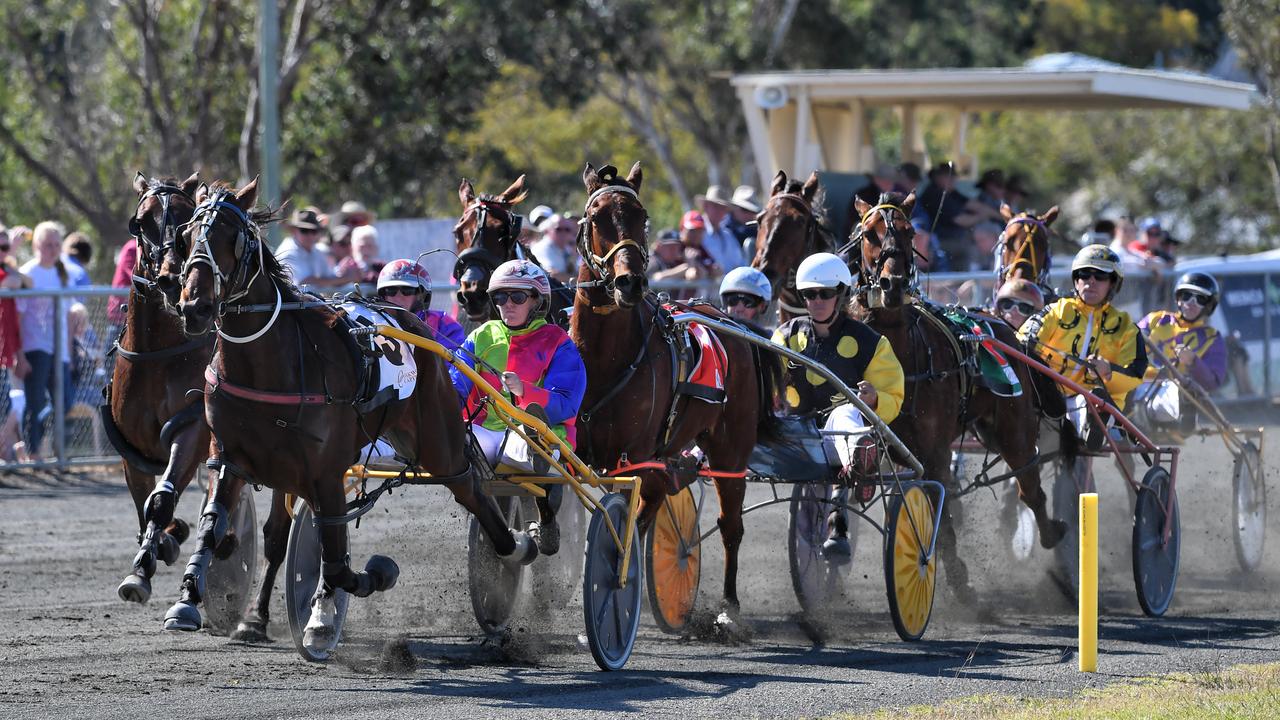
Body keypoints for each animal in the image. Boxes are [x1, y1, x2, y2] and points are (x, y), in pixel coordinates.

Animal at [161, 179, 540, 650]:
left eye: (233, 238)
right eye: (186, 236)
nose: (193, 307)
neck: (267, 362)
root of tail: (413, 323)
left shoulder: (324, 471)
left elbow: (337, 557)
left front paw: (359, 588)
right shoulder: (230, 456)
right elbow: (215, 527)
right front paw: (187, 600)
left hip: (439, 441)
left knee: (470, 488)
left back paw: (516, 549)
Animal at [570, 162, 778, 617]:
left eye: (641, 216)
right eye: (595, 217)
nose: (629, 283)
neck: (604, 361)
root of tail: (729, 321)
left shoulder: (631, 457)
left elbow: (623, 523)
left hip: (731, 448)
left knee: (729, 524)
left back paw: (728, 607)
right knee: (660, 496)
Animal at [849, 193, 1070, 597]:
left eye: (909, 231)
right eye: (869, 233)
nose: (892, 284)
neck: (902, 359)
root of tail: (1003, 327)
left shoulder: (934, 450)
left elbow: (941, 506)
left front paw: (954, 576)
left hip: (1013, 430)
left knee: (1030, 489)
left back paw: (1051, 533)